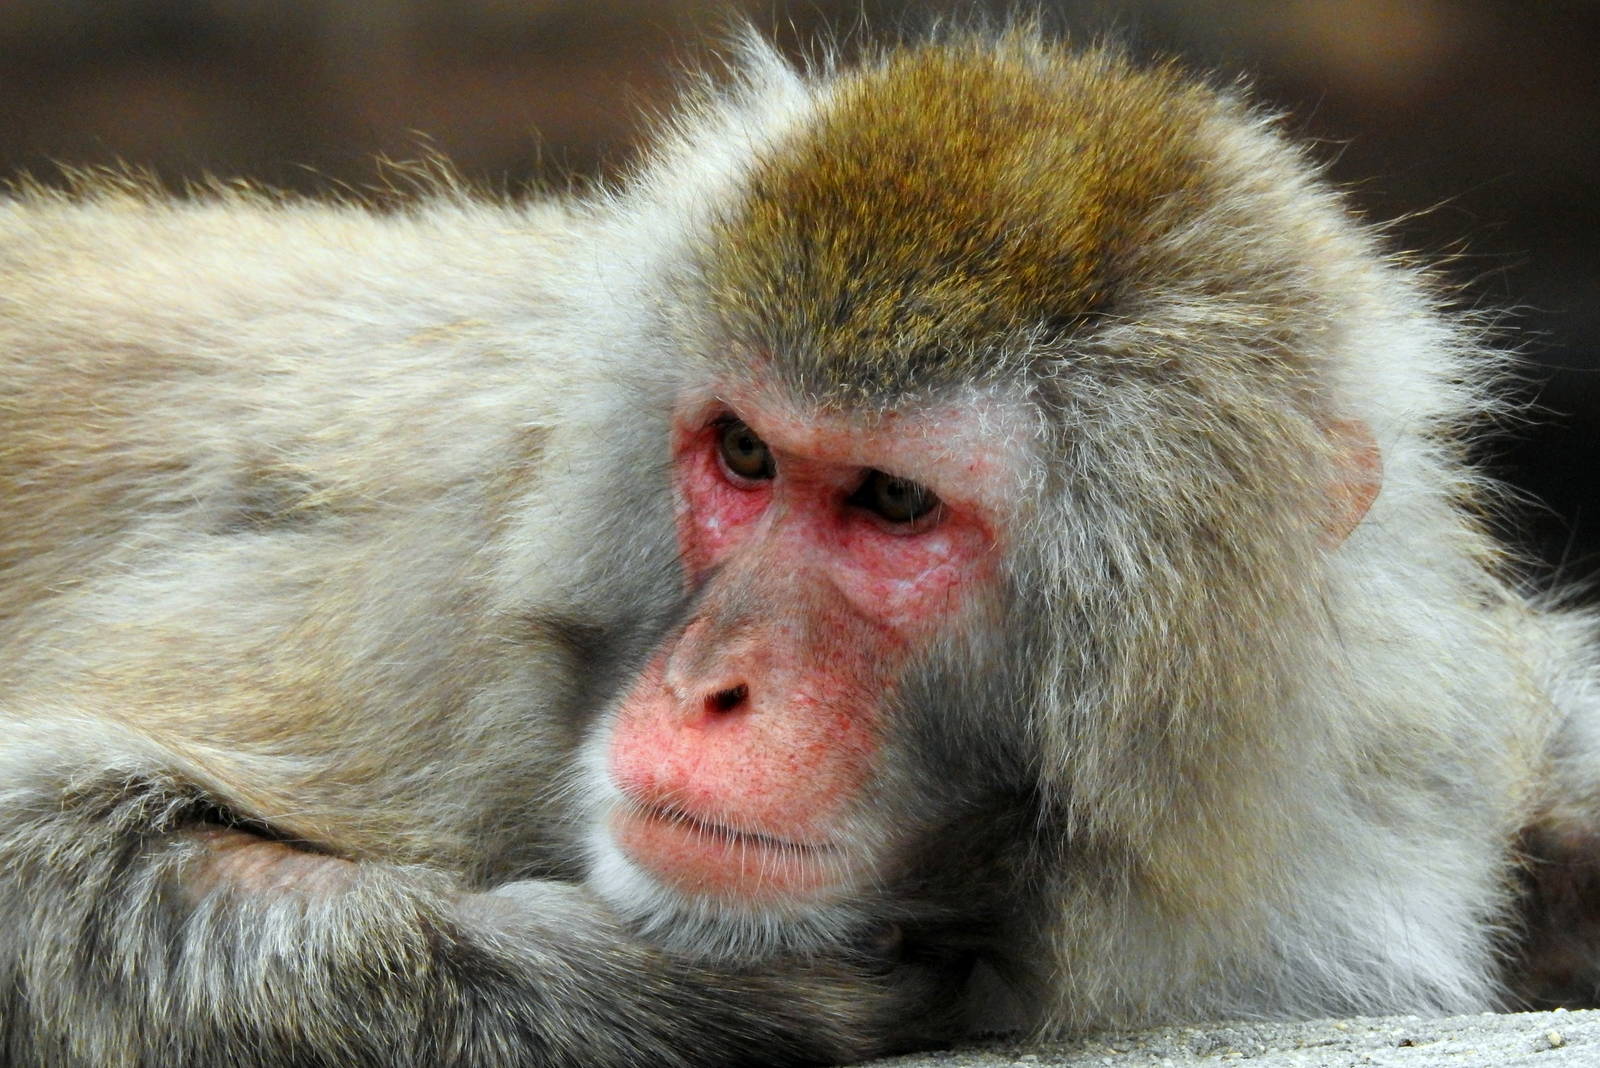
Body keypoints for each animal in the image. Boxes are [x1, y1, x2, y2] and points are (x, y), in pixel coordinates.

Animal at [2, 24, 1598, 1068]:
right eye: (747, 456)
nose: (713, 685)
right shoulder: (432, 630)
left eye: (891, 503)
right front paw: (708, 1003)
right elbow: (37, 839)